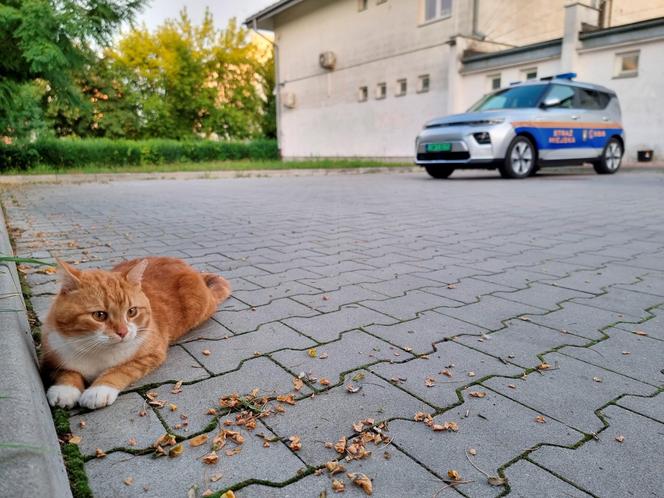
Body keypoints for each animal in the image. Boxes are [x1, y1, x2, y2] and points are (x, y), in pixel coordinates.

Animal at [41, 256, 230, 408]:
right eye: (99, 315)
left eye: (131, 311)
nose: (123, 332)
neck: (96, 351)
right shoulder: (53, 354)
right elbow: (66, 371)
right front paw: (65, 389)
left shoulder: (150, 355)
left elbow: (120, 369)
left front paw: (98, 390)